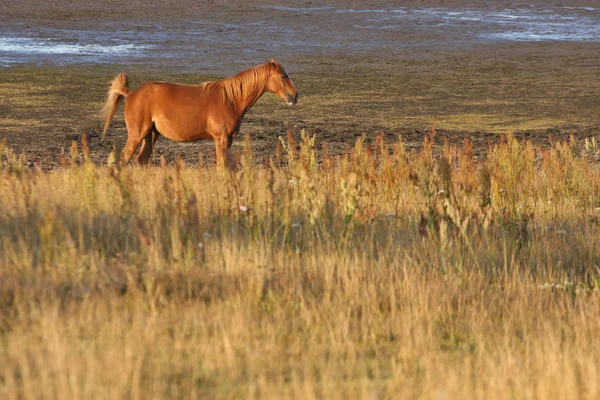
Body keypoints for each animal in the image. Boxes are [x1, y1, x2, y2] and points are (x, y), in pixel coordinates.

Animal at [103, 58, 302, 166]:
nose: (295, 96)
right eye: (283, 76)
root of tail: (130, 94)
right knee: (123, 159)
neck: (230, 99)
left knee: (140, 160)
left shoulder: (228, 139)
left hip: (150, 135)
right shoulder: (221, 138)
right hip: (137, 135)